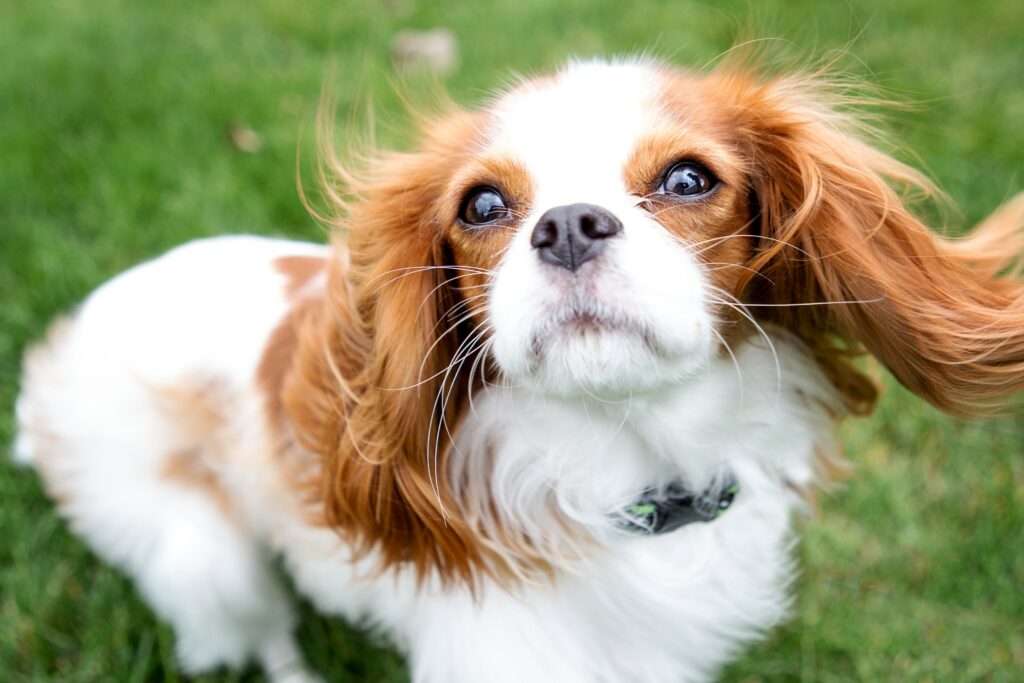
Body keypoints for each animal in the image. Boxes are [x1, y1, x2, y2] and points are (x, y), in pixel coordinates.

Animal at [16, 60, 1024, 683]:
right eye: (484, 204)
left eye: (689, 180)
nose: (568, 223)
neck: (629, 463)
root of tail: (56, 348)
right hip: (202, 554)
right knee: (255, 629)